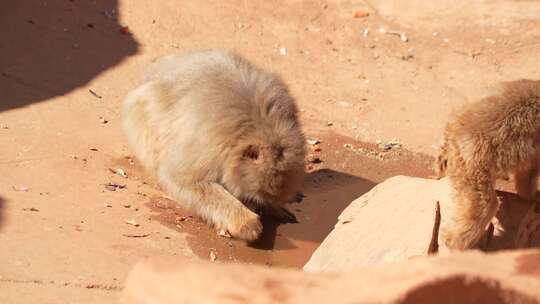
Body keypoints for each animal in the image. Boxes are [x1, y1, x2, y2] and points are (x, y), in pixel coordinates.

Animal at [123, 49, 308, 240]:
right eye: (253, 199)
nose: (258, 207)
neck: (259, 127)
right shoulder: (205, 148)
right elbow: (184, 180)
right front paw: (246, 223)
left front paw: (276, 209)